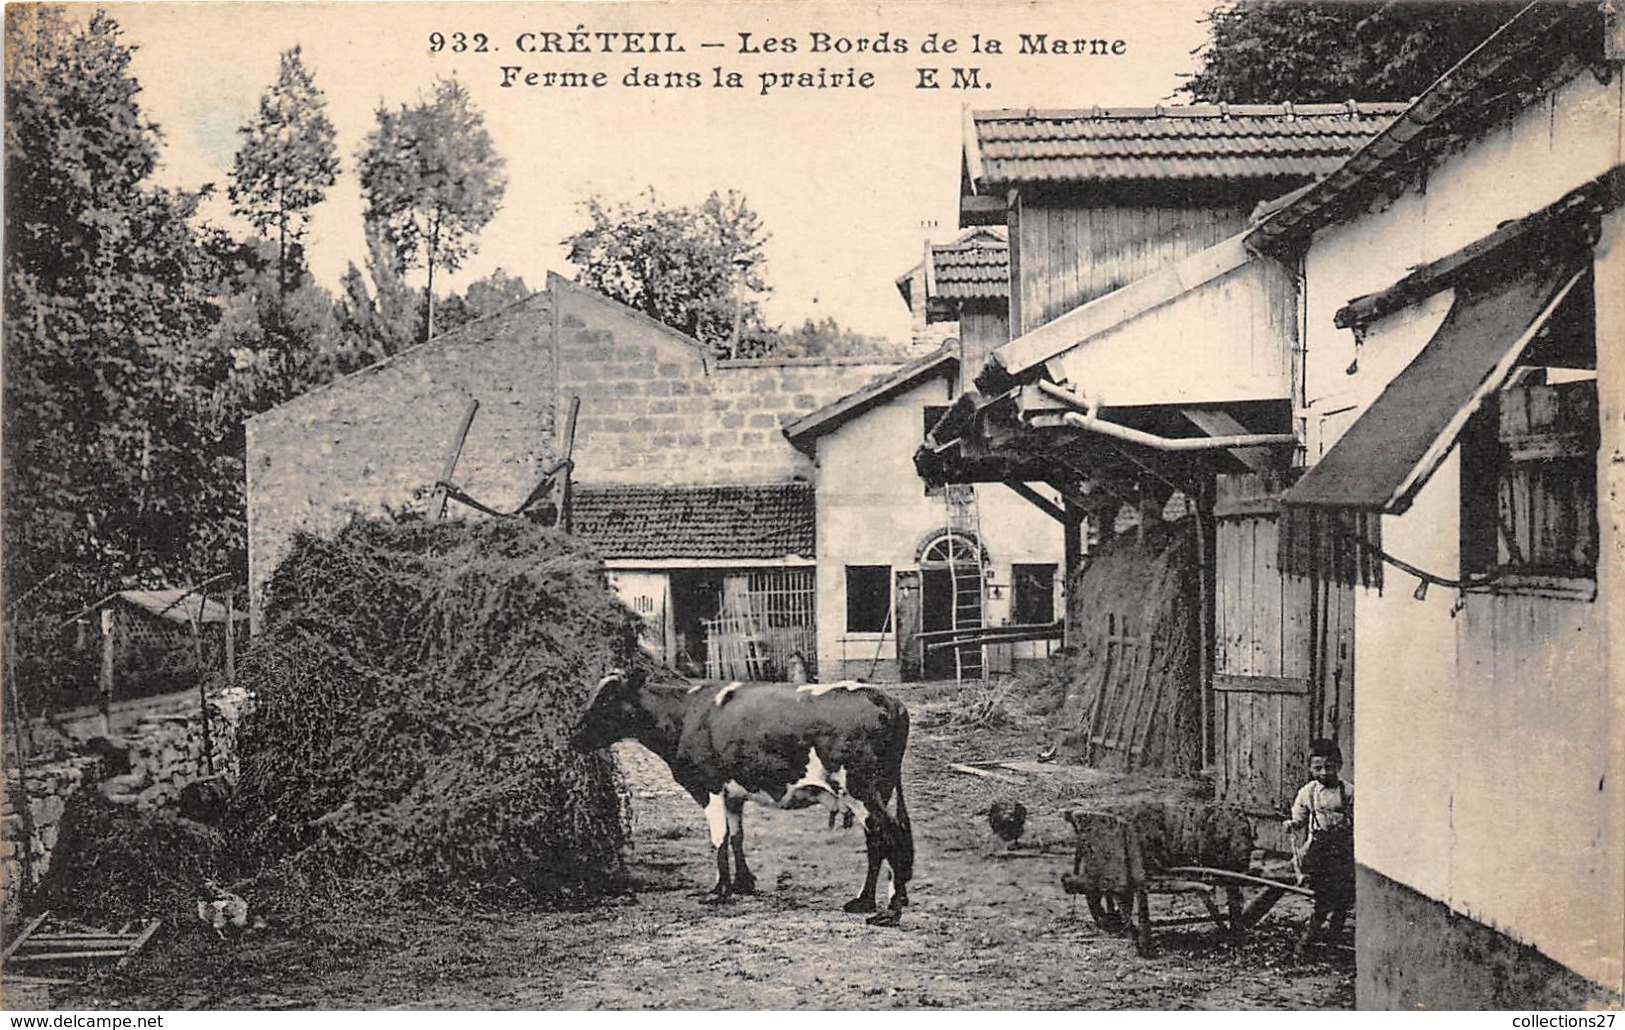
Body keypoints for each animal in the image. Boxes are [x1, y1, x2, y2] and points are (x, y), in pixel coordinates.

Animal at [572, 666, 916, 922]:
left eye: (607, 699)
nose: (574, 736)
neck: (685, 714)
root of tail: (889, 700)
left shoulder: (707, 786)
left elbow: (719, 839)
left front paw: (719, 890)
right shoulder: (733, 793)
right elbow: (737, 837)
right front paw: (743, 884)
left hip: (861, 789)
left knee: (890, 835)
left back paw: (889, 910)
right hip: (878, 790)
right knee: (876, 840)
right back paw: (866, 901)